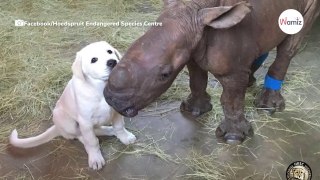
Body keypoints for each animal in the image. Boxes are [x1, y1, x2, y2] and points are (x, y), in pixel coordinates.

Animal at [9, 41, 136, 170]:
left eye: (109, 51)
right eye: (94, 60)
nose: (112, 62)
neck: (100, 88)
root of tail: (57, 127)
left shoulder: (116, 111)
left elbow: (119, 127)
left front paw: (125, 137)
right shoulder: (85, 122)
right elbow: (92, 141)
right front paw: (95, 158)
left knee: (98, 130)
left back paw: (110, 130)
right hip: (67, 121)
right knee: (81, 136)